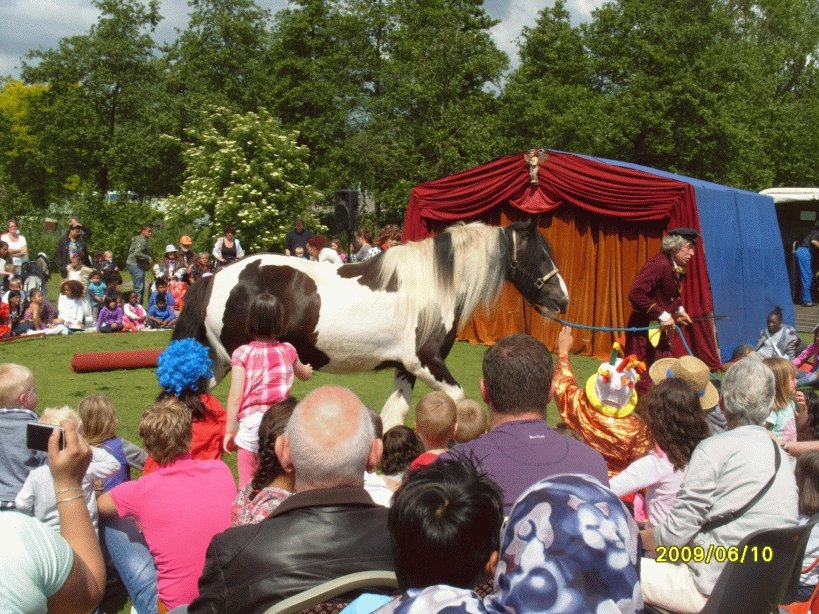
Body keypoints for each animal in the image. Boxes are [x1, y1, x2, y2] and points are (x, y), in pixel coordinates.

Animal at [175, 220, 568, 428]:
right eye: (541, 255)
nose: (562, 300)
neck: (433, 285)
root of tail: (215, 277)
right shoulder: (426, 363)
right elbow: (458, 399)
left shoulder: (405, 369)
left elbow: (394, 415)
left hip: (219, 362)